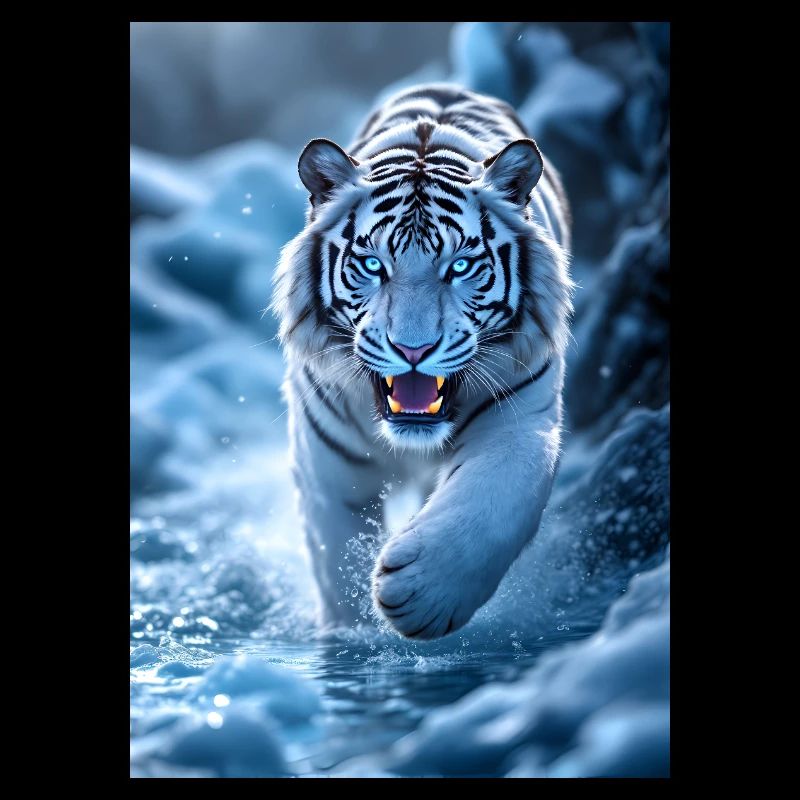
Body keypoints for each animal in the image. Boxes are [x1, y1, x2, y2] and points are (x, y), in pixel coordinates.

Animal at [271, 83, 573, 640]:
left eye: (461, 266)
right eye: (372, 265)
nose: (413, 350)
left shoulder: (521, 420)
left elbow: (494, 501)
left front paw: (422, 595)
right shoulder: (327, 464)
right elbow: (336, 562)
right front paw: (353, 635)